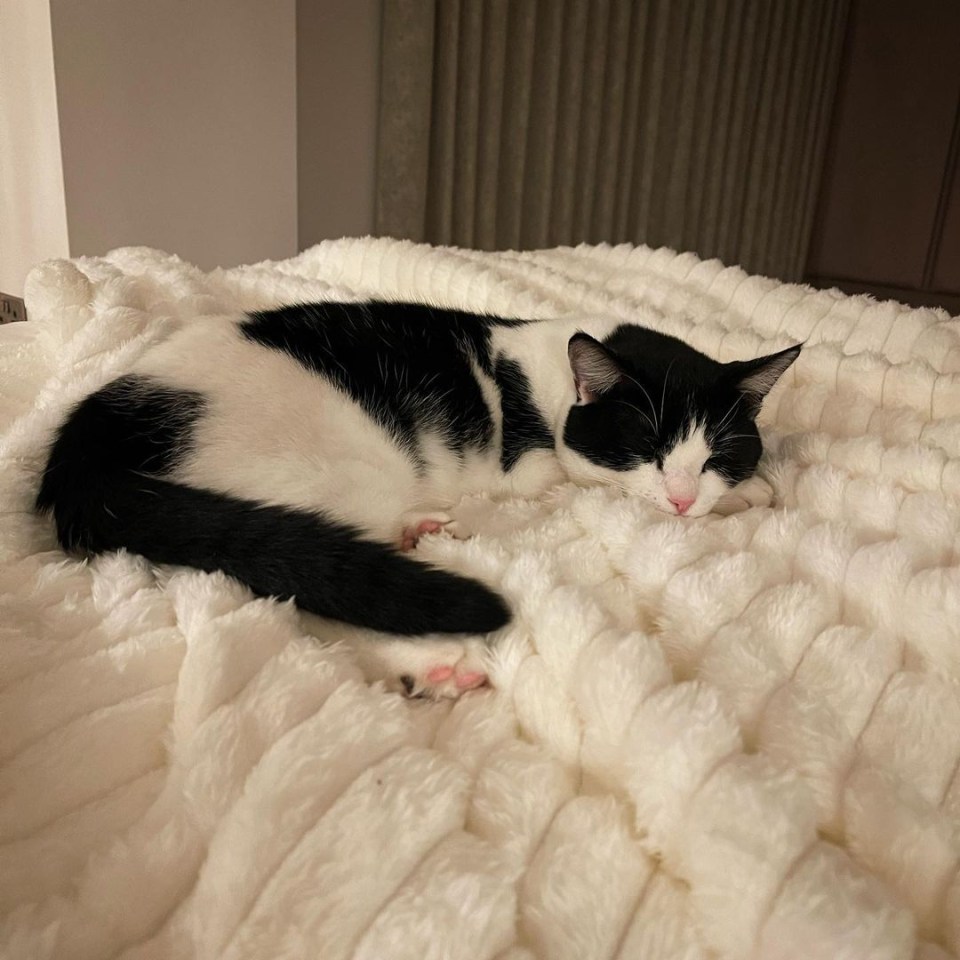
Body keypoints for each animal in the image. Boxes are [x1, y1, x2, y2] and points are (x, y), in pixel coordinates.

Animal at [37, 300, 800, 696]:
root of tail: (88, 437)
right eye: (645, 443)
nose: (683, 499)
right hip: (326, 473)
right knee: (312, 585)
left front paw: (740, 491)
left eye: (717, 453)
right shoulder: (531, 471)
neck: (556, 372)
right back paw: (427, 646)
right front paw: (740, 499)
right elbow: (587, 486)